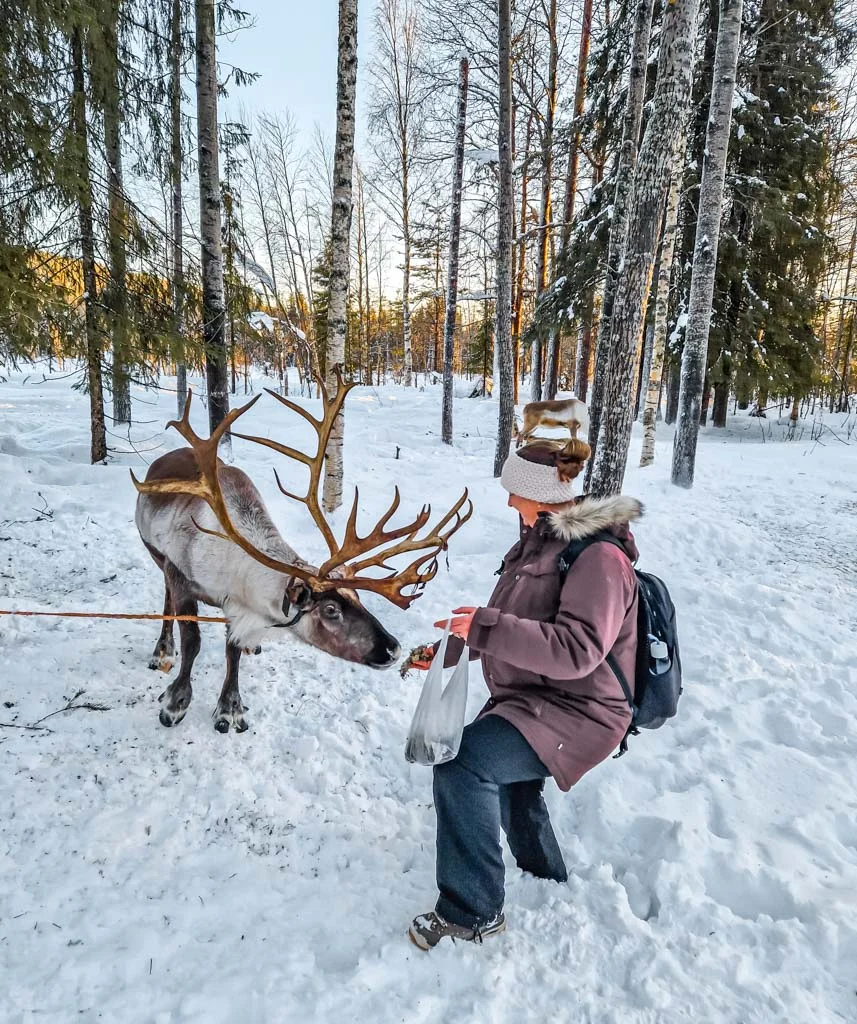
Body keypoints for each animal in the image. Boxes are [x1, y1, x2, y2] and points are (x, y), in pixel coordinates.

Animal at [132, 369, 471, 734]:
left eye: (358, 599)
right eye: (330, 610)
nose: (393, 649)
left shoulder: (234, 606)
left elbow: (232, 648)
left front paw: (230, 707)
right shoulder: (182, 576)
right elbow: (192, 640)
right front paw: (176, 702)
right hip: (156, 555)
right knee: (166, 599)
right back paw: (162, 651)